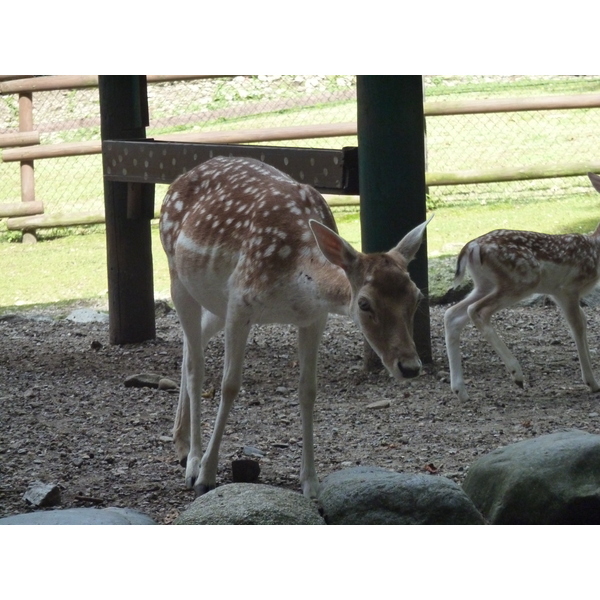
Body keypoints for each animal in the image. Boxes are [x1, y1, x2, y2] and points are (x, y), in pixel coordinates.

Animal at [159, 154, 432, 496]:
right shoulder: (240, 300)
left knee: (190, 347)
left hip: (214, 301)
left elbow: (308, 390)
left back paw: (181, 445)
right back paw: (193, 463)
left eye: (417, 296)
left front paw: (311, 483)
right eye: (364, 303)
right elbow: (230, 385)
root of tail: (176, 182)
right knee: (196, 366)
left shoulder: (314, 318)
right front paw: (207, 474)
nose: (410, 366)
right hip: (178, 277)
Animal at [442, 171, 600, 400]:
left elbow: (583, 323)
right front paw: (592, 382)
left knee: (452, 314)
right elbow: (577, 326)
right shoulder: (568, 288)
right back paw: (516, 373)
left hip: (484, 284)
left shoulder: (560, 292)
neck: (596, 248)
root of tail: (471, 248)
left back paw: (460, 391)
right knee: (477, 310)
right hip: (521, 280)